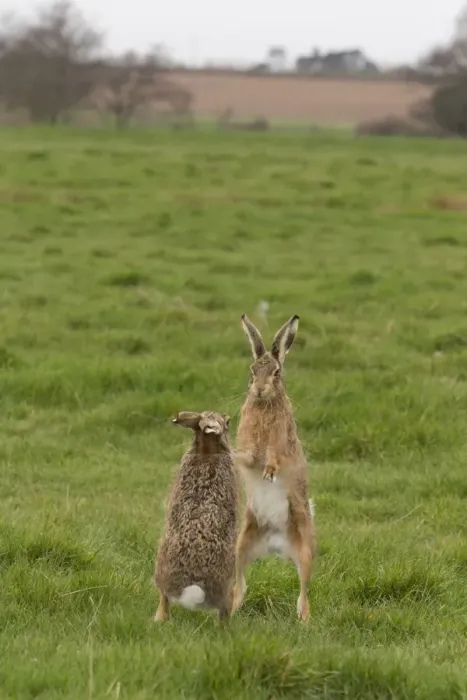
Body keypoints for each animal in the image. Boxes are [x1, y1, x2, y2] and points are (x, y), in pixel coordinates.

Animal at [232, 314, 316, 622]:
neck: (264, 404)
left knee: (303, 591)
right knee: (240, 583)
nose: (259, 389)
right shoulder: (249, 445)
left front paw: (269, 471)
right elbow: (245, 455)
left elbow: (275, 457)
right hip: (241, 544)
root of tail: (275, 543)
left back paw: (304, 621)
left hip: (305, 550)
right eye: (252, 370)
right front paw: (228, 453)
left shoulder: (282, 445)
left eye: (277, 372)